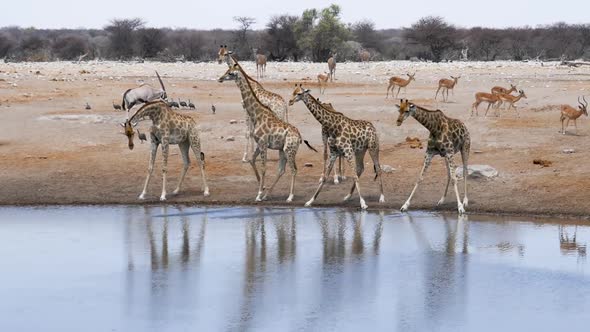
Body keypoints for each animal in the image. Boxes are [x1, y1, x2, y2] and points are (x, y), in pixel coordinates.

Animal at [219, 62, 320, 202]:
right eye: (227, 70)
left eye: (230, 73)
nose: (220, 78)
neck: (257, 114)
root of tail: (299, 137)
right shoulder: (260, 143)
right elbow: (251, 160)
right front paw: (262, 187)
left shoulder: (263, 143)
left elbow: (264, 168)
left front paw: (259, 194)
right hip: (282, 150)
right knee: (281, 170)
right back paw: (268, 195)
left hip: (289, 150)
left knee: (293, 169)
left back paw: (290, 196)